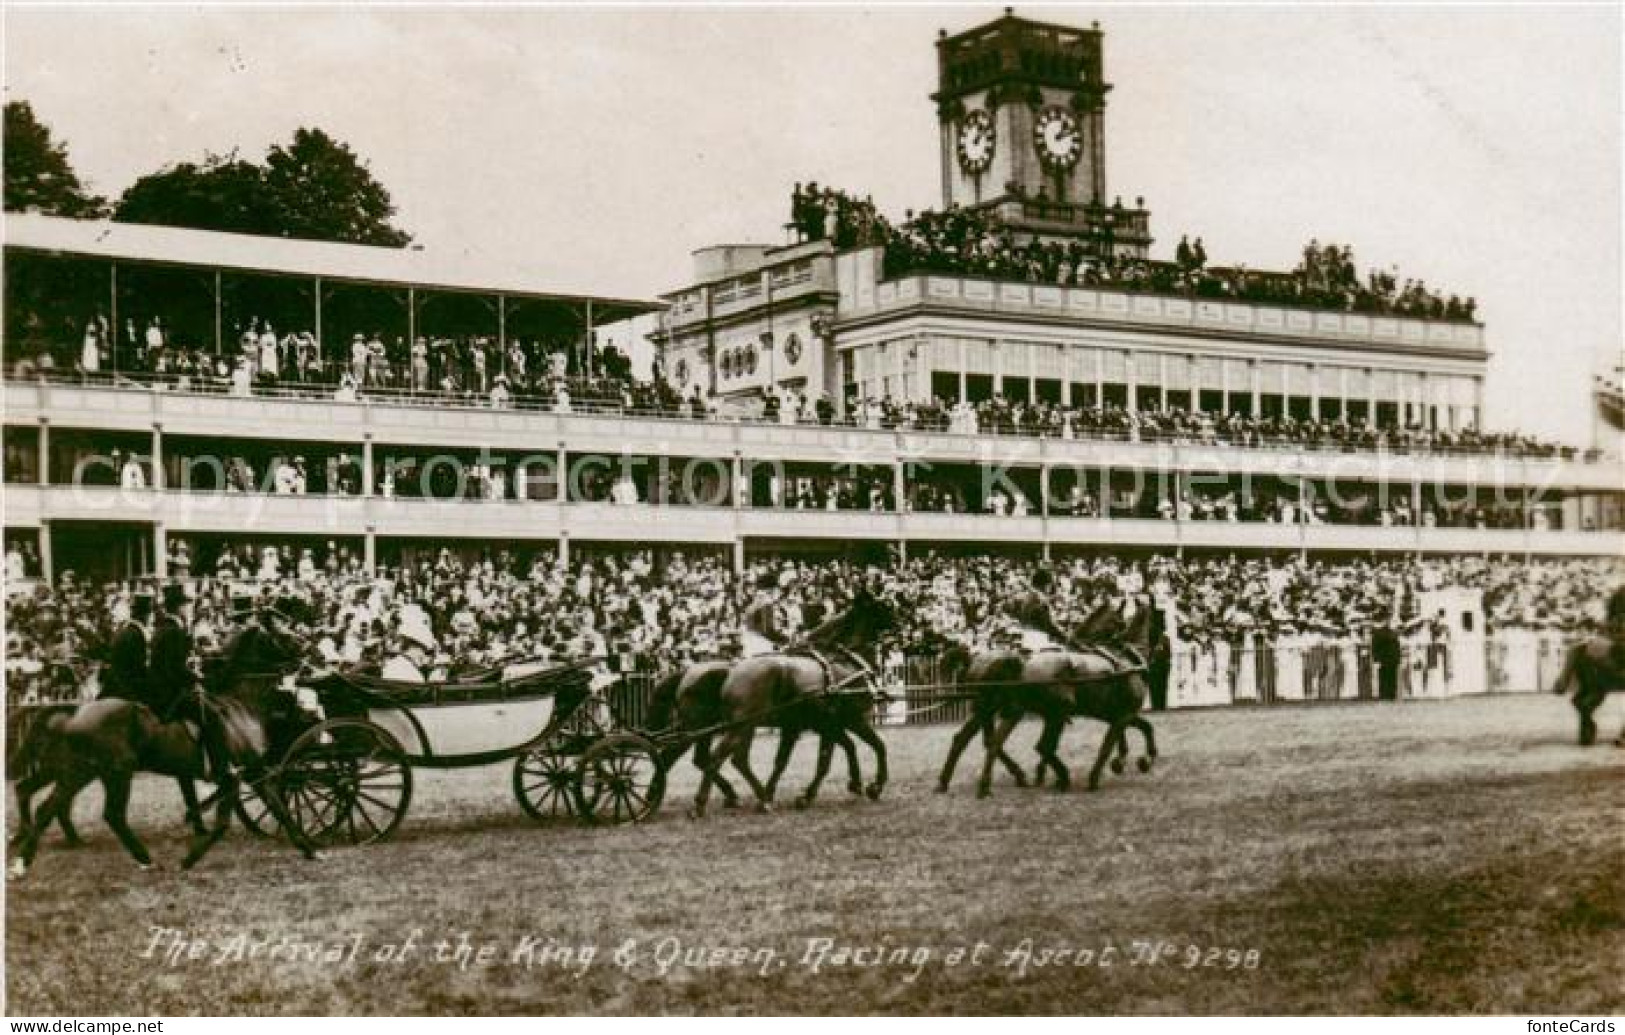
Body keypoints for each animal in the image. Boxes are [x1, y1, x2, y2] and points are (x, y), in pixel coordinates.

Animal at [9, 617, 323, 877]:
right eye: (279, 635)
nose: (312, 653)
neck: (238, 706)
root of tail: (75, 712)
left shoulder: (254, 772)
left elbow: (279, 809)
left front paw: (309, 849)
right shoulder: (235, 776)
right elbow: (225, 822)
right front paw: (189, 859)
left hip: (80, 771)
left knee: (45, 804)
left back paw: (24, 859)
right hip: (114, 771)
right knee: (108, 814)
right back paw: (144, 859)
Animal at [679, 588, 897, 815]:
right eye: (884, 607)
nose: (899, 625)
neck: (842, 662)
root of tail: (733, 671)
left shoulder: (815, 726)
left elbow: (790, 759)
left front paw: (855, 783)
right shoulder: (850, 720)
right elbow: (867, 749)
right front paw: (873, 786)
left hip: (737, 727)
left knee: (727, 759)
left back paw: (752, 797)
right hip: (740, 725)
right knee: (717, 758)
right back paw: (702, 803)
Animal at [942, 636, 1157, 799]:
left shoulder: (1115, 716)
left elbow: (1142, 727)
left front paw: (1127, 760)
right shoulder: (1123, 715)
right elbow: (1108, 745)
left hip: (993, 710)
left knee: (966, 739)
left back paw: (945, 782)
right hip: (1030, 712)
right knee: (1017, 744)